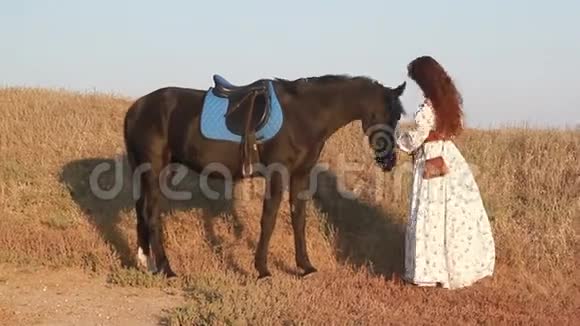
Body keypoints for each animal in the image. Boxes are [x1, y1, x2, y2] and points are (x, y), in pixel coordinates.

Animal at [122, 73, 406, 278]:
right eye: (389, 114)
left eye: (397, 116)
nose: (389, 161)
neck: (305, 114)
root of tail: (136, 109)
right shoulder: (277, 173)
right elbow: (268, 220)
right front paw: (262, 269)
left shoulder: (301, 175)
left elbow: (298, 219)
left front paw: (305, 267)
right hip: (154, 170)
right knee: (151, 214)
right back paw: (167, 269)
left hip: (147, 172)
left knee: (142, 210)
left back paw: (146, 262)